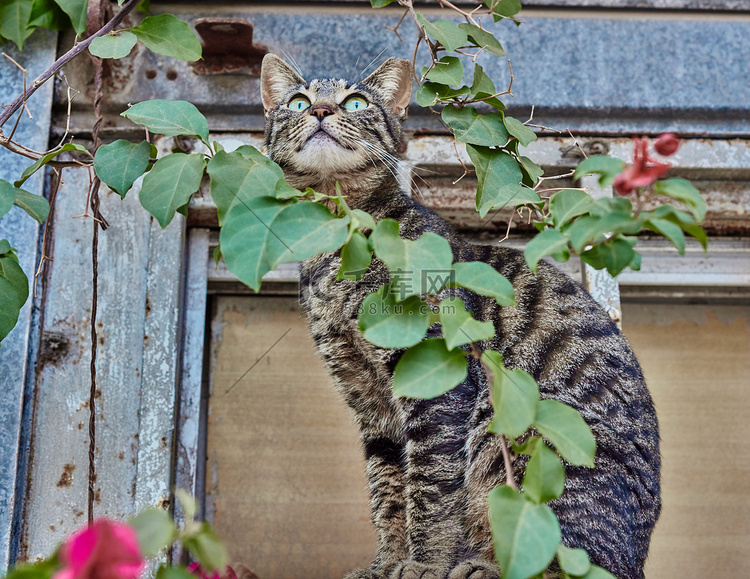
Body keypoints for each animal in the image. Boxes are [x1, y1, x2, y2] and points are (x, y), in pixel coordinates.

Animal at [262, 54, 660, 579]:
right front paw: (387, 563)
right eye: (298, 102)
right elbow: (388, 494)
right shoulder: (369, 403)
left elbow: (430, 489)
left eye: (356, 102)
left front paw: (425, 564)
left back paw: (481, 565)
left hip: (513, 419)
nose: (322, 111)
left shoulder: (434, 383)